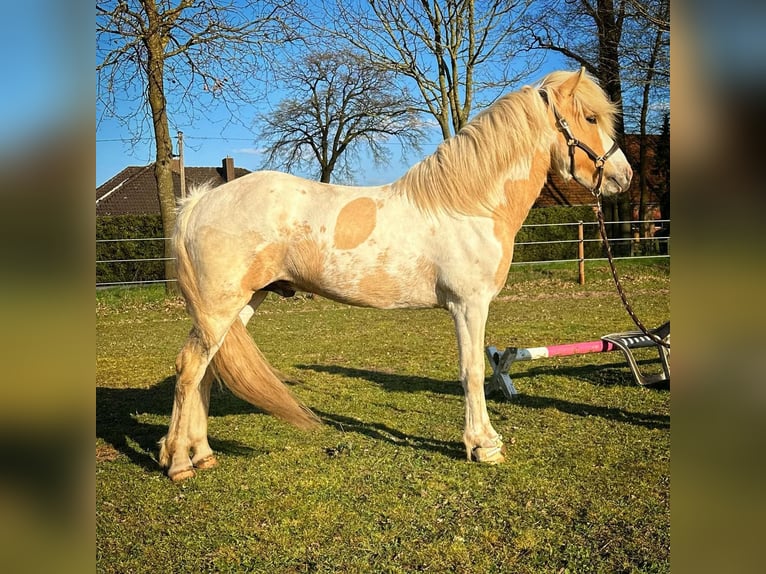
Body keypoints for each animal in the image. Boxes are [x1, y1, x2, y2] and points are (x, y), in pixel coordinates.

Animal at [159, 68, 632, 481]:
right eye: (591, 118)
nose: (623, 176)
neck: (469, 204)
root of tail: (198, 203)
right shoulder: (468, 306)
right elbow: (473, 371)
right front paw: (484, 445)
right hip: (220, 306)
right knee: (189, 367)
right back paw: (179, 463)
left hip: (238, 305)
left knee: (205, 369)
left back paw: (201, 454)